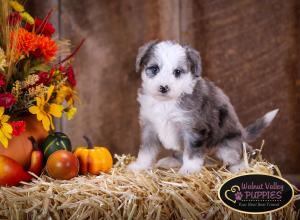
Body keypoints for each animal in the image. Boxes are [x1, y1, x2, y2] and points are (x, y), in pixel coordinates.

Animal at [127, 40, 278, 175]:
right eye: (154, 69)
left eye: (177, 72)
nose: (164, 87)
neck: (166, 102)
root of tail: (242, 133)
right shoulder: (149, 126)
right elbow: (146, 151)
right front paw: (140, 166)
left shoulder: (194, 129)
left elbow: (192, 152)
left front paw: (189, 169)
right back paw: (171, 161)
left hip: (227, 146)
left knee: (243, 151)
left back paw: (240, 167)